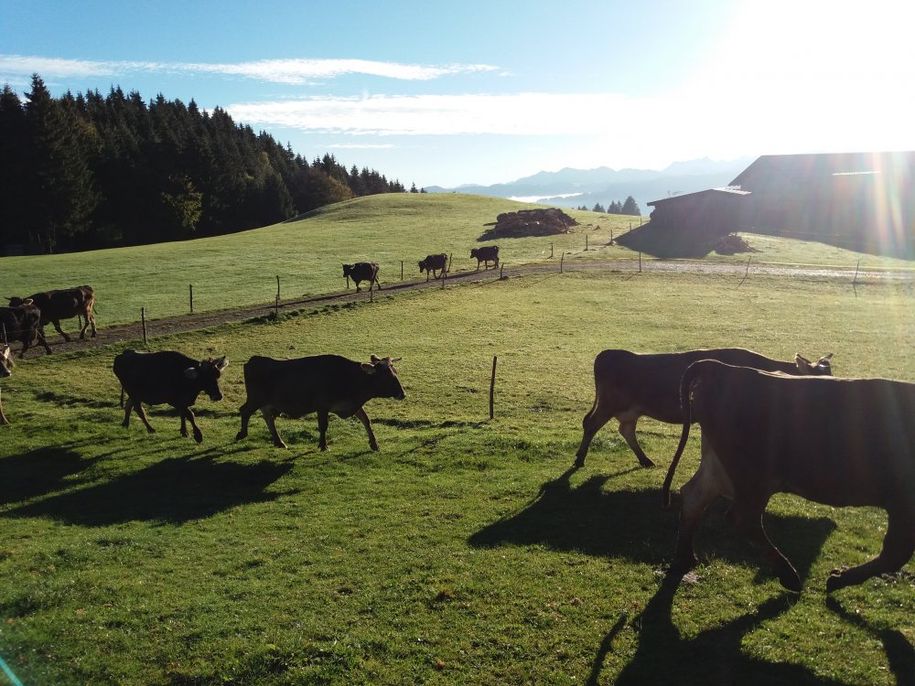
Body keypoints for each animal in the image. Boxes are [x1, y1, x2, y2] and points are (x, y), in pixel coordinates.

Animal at [236, 354, 408, 452]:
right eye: (387, 376)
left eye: (395, 372)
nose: (402, 394)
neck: (350, 377)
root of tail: (254, 361)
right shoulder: (322, 406)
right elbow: (323, 426)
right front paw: (323, 445)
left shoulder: (353, 403)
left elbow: (366, 420)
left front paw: (374, 443)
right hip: (256, 399)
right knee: (245, 411)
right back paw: (242, 433)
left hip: (267, 403)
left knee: (268, 418)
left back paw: (279, 442)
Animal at [576, 346, 832, 470]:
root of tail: (607, 354)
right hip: (609, 403)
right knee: (591, 424)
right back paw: (579, 459)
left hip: (630, 409)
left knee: (626, 430)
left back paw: (645, 460)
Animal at [664, 362, 915, 592]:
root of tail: (721, 368)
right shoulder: (903, 502)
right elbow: (895, 554)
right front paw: (837, 579)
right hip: (754, 476)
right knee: (742, 517)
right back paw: (789, 575)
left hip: (722, 468)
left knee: (694, 496)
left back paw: (685, 558)